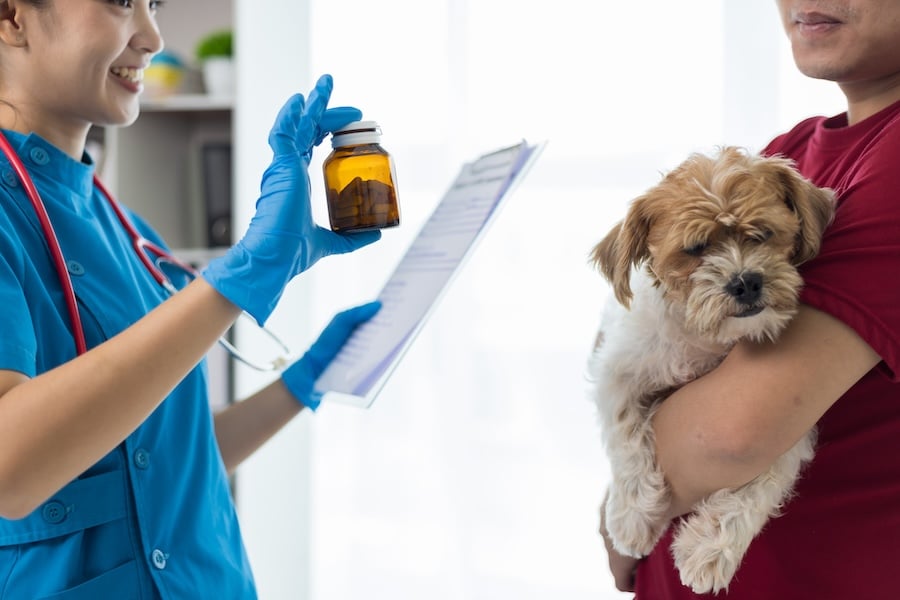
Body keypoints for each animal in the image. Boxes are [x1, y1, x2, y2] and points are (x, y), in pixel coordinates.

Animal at [592, 148, 836, 592]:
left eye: (763, 233)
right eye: (694, 248)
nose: (746, 281)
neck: (707, 340)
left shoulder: (783, 430)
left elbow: (765, 483)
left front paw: (710, 548)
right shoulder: (617, 371)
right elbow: (625, 435)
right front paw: (632, 517)